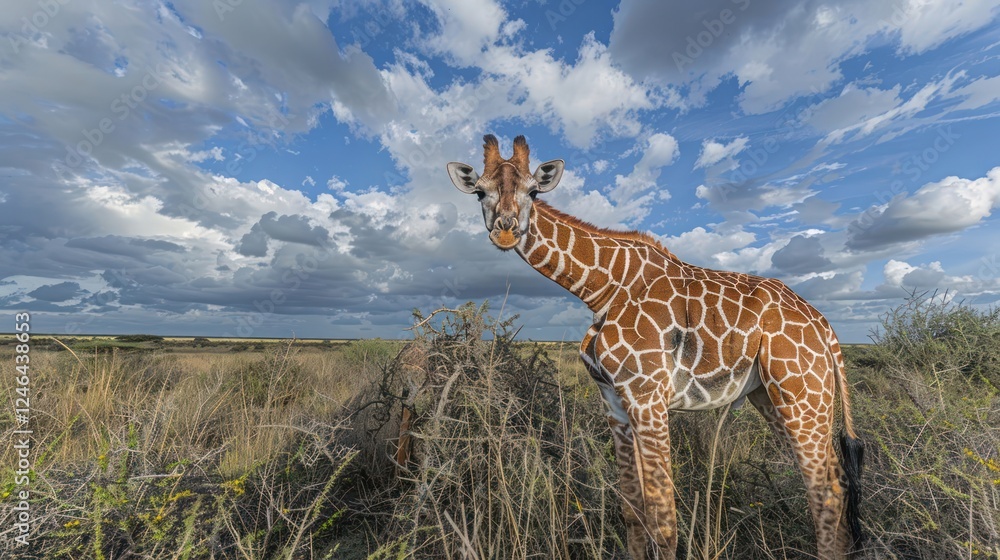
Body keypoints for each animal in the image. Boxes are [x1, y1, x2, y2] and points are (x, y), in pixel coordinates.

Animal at [447, 135, 865, 560]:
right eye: (480, 191)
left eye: (533, 191)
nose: (505, 231)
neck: (600, 290)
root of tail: (825, 329)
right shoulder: (614, 401)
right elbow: (633, 513)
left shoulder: (648, 396)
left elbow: (663, 524)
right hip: (774, 396)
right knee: (836, 481)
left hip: (801, 396)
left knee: (827, 491)